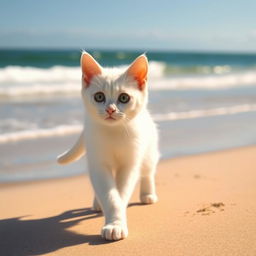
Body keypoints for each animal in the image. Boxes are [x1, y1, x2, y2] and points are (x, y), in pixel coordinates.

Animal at [57, 51, 159, 240]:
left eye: (124, 98)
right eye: (99, 96)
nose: (110, 110)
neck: (114, 133)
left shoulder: (129, 164)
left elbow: (120, 192)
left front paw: (116, 223)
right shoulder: (98, 163)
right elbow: (109, 193)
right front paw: (113, 222)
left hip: (149, 150)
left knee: (148, 171)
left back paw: (147, 194)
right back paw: (98, 203)